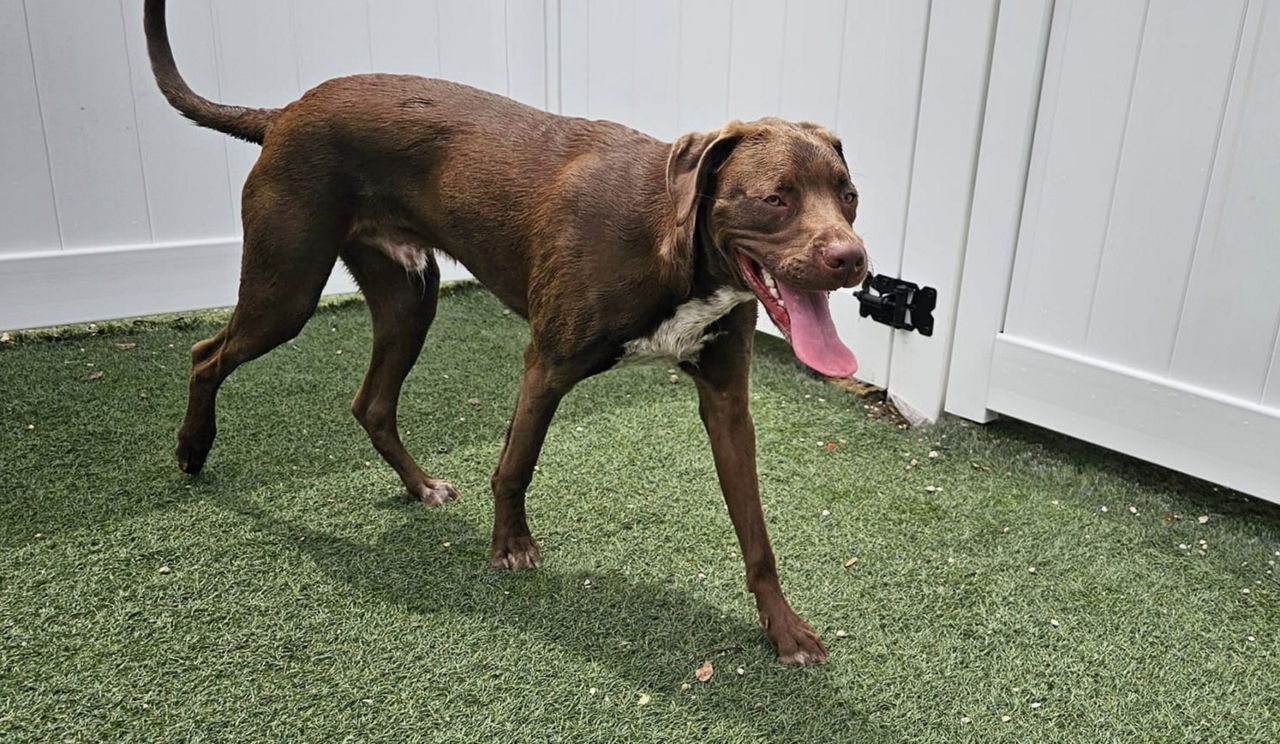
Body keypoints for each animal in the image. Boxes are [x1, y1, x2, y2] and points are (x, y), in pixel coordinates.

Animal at [147, 0, 870, 660]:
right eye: (775, 198)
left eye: (849, 194)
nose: (853, 260)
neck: (672, 243)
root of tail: (284, 113)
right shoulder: (546, 365)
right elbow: (515, 465)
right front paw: (511, 547)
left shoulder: (727, 402)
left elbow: (756, 530)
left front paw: (783, 627)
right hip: (287, 291)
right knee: (205, 353)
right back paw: (191, 448)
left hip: (409, 301)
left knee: (370, 403)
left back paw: (419, 486)